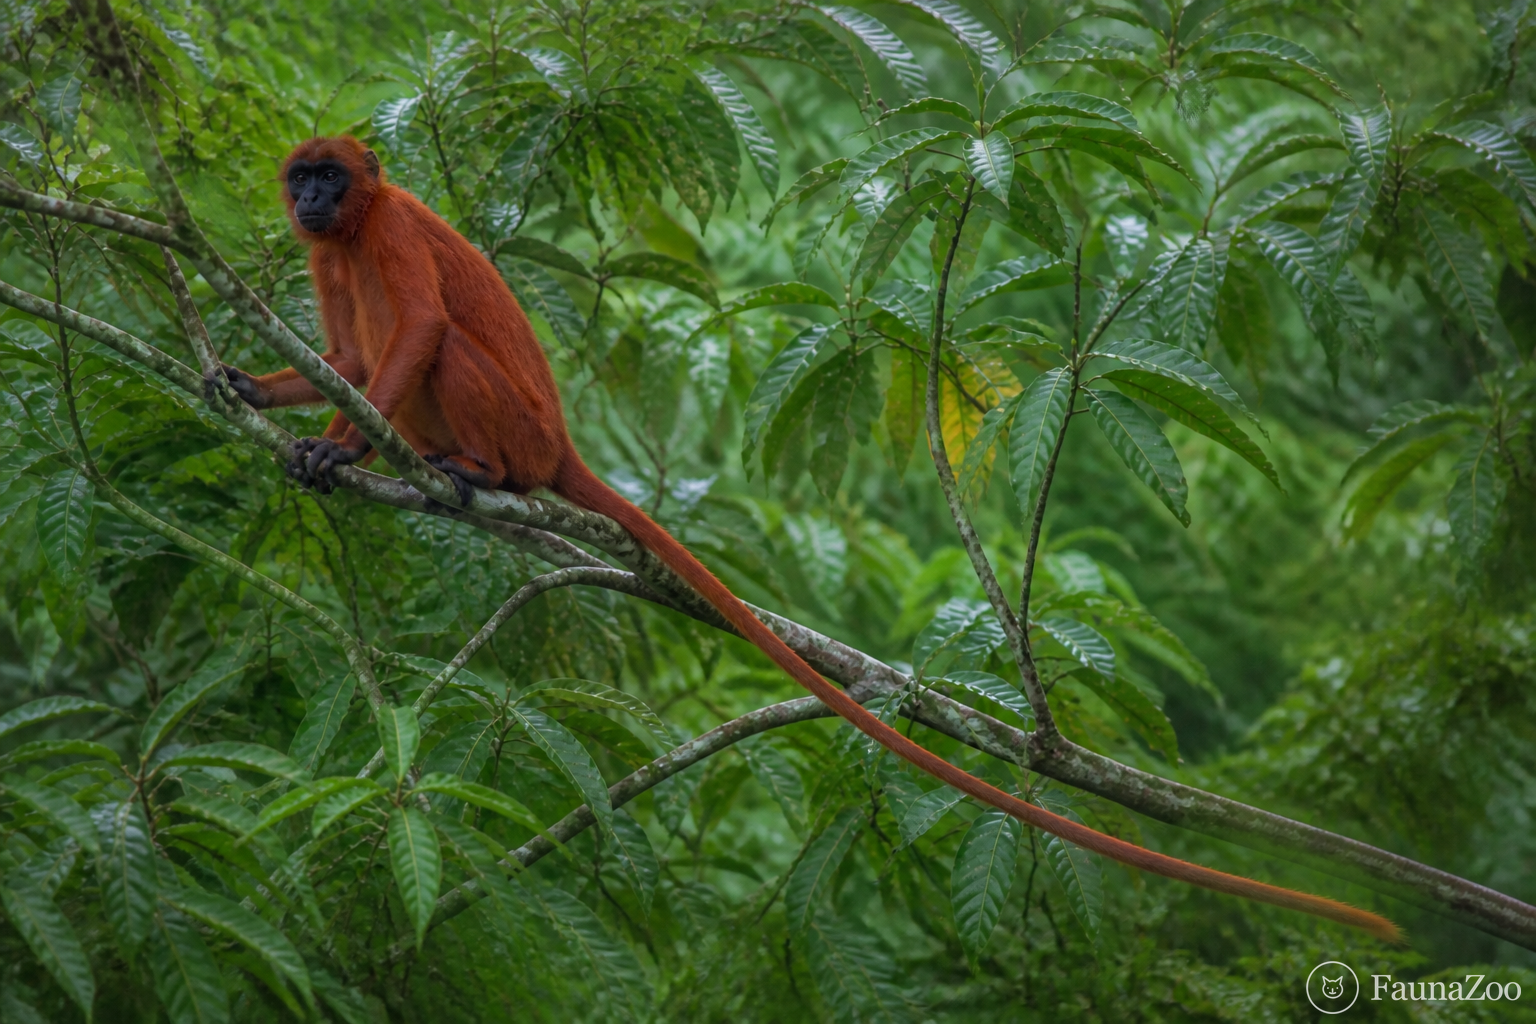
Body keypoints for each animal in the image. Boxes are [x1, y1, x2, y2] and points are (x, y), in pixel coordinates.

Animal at [218, 136, 1399, 942]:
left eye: (330, 180)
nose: (311, 199)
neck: (355, 227)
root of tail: (559, 446)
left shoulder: (388, 232)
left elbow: (413, 331)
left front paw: (338, 446)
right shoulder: (333, 256)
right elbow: (337, 355)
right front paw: (259, 395)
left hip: (513, 421)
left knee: (439, 347)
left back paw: (479, 475)